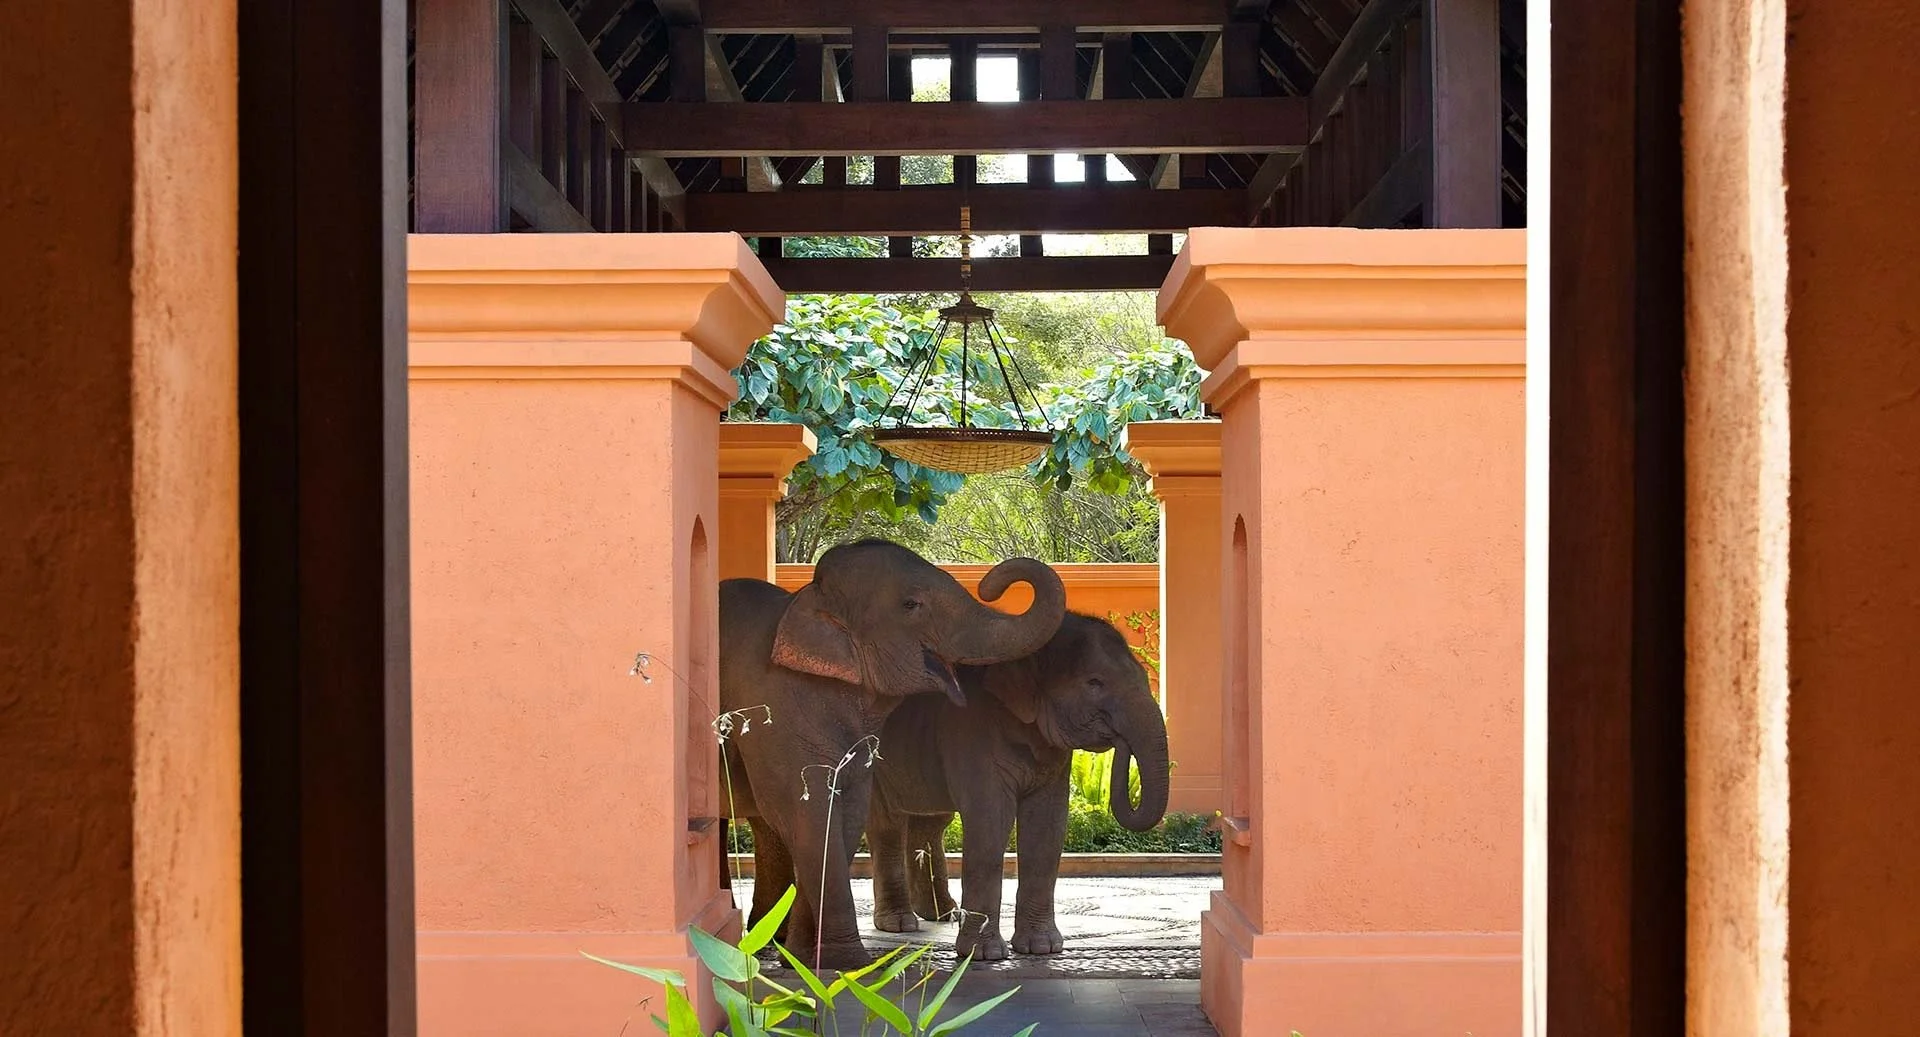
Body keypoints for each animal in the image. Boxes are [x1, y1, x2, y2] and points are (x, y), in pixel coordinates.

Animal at [717, 539, 1066, 970]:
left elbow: (845, 815)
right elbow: (806, 810)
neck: (808, 601)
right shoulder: (775, 710)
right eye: (911, 605)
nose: (989, 584)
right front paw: (848, 963)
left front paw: (802, 959)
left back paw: (768, 942)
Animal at [865, 611, 1171, 961]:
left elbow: (1047, 825)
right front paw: (984, 954)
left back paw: (943, 914)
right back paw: (899, 924)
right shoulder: (971, 729)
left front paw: (1042, 948)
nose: (1118, 740)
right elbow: (990, 822)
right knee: (888, 824)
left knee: (931, 823)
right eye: (1095, 682)